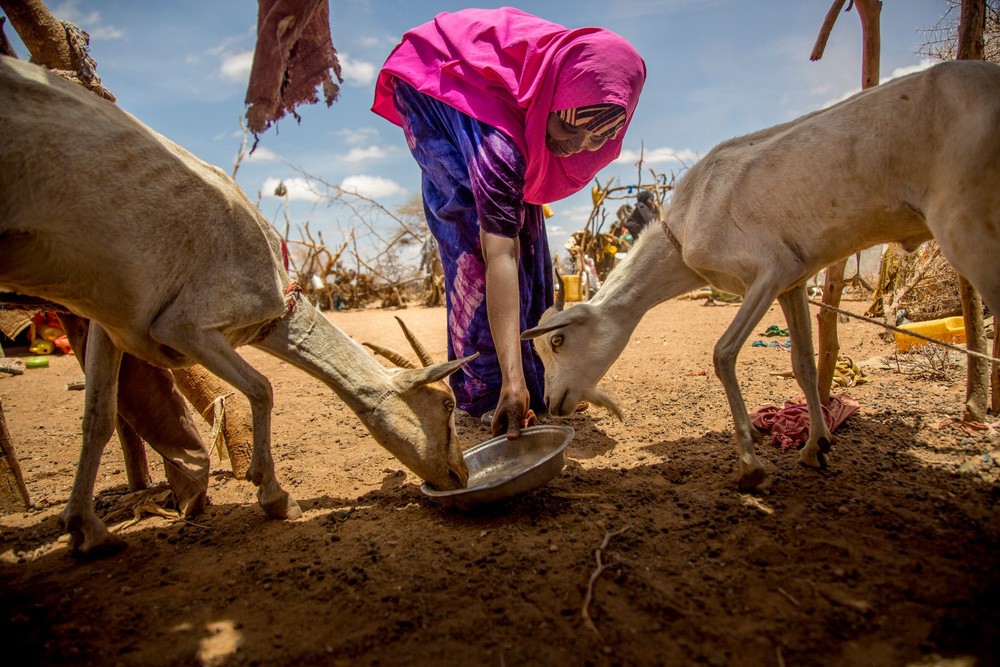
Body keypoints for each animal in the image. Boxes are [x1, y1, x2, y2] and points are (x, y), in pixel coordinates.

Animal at [0, 53, 476, 560]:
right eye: (445, 406)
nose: (460, 474)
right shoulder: (185, 327)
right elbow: (263, 388)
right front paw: (276, 498)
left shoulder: (110, 322)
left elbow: (99, 418)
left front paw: (87, 529)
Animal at [524, 61, 1000, 490]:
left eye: (558, 340)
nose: (550, 401)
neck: (689, 220)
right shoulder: (793, 282)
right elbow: (803, 364)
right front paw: (815, 447)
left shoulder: (770, 270)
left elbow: (722, 353)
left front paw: (750, 466)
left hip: (968, 226)